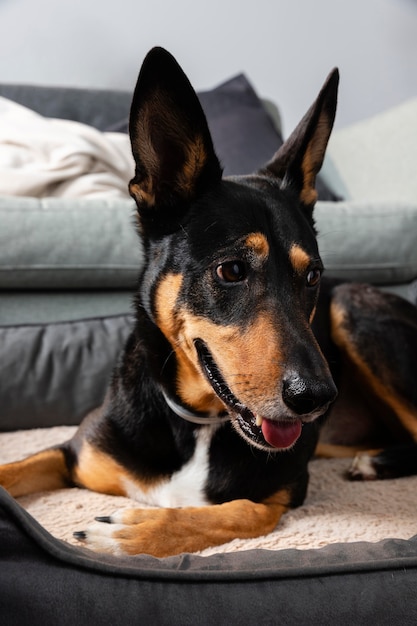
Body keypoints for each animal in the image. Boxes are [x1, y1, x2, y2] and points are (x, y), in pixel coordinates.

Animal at [0, 50, 416, 556]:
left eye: (312, 276)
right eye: (232, 270)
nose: (316, 398)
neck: (197, 421)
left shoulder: (280, 495)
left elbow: (230, 511)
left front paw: (135, 530)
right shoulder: (74, 452)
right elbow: (12, 467)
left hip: (352, 306)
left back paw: (377, 462)